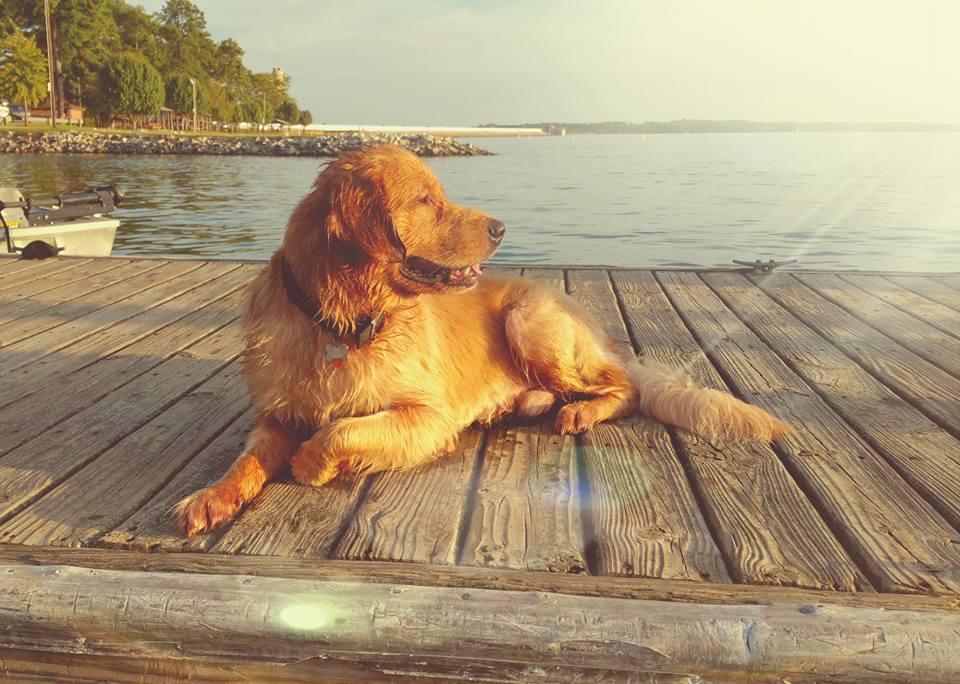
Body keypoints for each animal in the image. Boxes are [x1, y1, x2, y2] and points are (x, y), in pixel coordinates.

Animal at [176, 144, 792, 536]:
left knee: (626, 388)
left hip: (531, 323)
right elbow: (248, 459)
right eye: (426, 200)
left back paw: (578, 412)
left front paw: (312, 463)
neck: (341, 324)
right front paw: (211, 495)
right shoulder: (275, 414)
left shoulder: (427, 415)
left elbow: (336, 434)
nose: (501, 228)